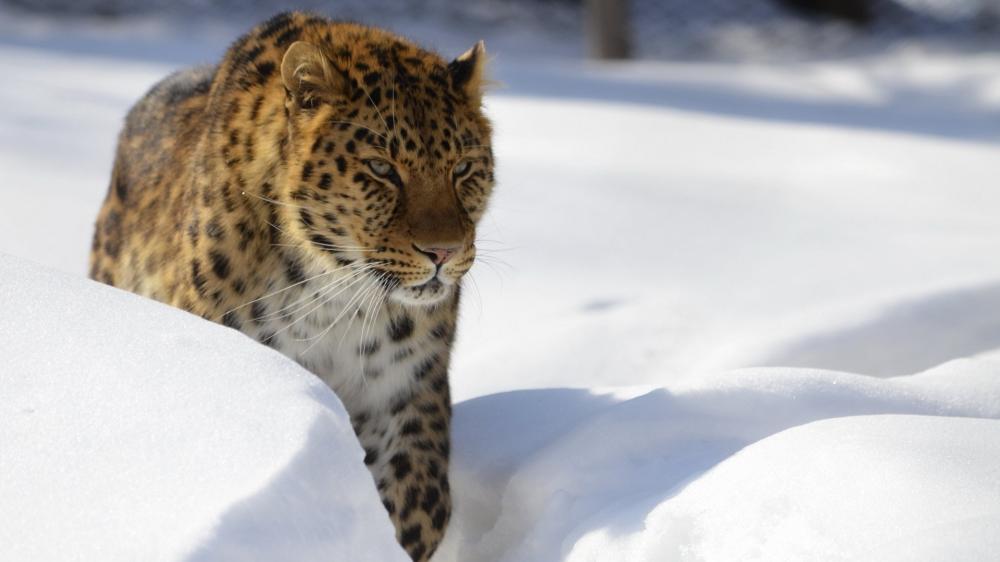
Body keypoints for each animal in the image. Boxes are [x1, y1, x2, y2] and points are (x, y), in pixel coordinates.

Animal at [88, 12, 495, 561]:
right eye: (382, 169)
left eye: (463, 168)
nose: (444, 253)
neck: (335, 294)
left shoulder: (406, 391)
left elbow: (417, 501)